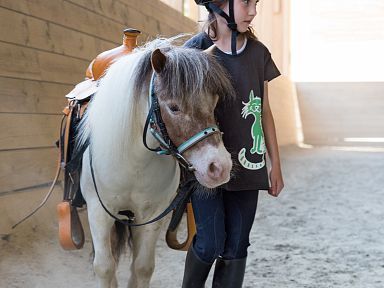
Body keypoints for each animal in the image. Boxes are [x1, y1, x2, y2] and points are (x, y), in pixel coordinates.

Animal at [76, 36, 234, 288]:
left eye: (214, 102)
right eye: (174, 107)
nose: (219, 167)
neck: (133, 165)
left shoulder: (152, 216)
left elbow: (142, 267)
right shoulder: (98, 211)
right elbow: (104, 267)